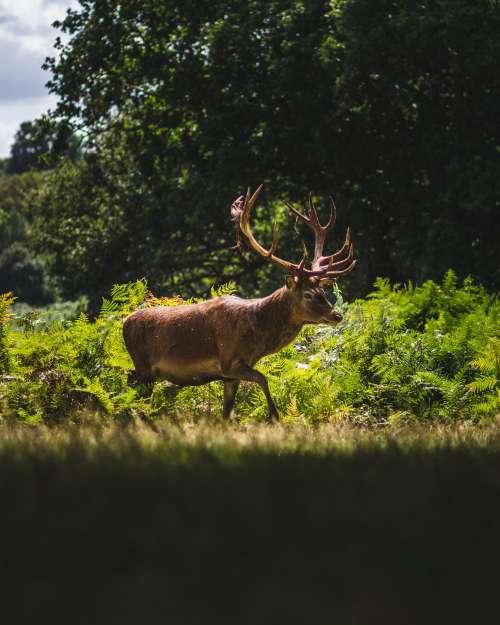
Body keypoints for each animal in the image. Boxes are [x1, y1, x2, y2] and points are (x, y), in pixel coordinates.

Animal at [122, 185, 356, 420]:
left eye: (323, 290)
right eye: (307, 294)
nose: (337, 315)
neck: (257, 336)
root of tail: (124, 323)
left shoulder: (230, 376)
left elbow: (227, 412)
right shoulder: (228, 362)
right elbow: (263, 378)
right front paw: (275, 416)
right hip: (142, 365)